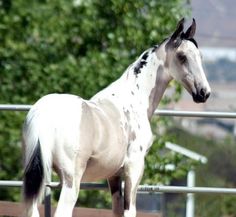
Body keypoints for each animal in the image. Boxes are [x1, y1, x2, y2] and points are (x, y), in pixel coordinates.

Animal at [21, 18, 210, 217]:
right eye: (182, 56)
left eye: (200, 56)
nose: (204, 93)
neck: (134, 98)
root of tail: (42, 113)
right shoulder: (133, 168)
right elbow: (130, 210)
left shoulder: (114, 175)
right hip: (70, 181)